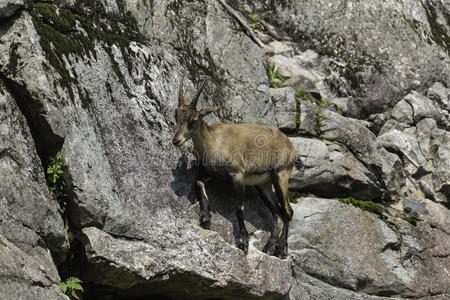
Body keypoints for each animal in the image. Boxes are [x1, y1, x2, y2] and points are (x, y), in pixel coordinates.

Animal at [172, 77, 298, 258]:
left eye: (193, 120)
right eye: (176, 116)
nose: (176, 140)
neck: (214, 141)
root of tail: (291, 147)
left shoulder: (237, 174)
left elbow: (239, 207)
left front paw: (244, 241)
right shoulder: (212, 173)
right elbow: (198, 182)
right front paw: (206, 217)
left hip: (281, 175)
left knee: (288, 211)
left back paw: (281, 248)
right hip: (263, 184)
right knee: (277, 213)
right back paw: (269, 247)